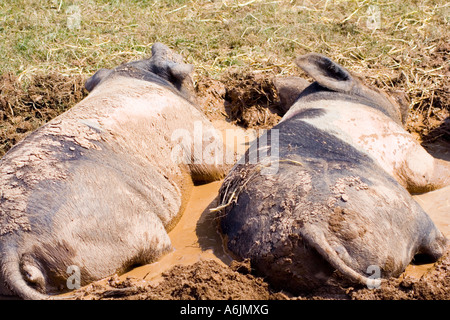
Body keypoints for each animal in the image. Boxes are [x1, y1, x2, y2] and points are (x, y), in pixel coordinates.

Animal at [0, 42, 229, 300]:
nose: (162, 46)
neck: (132, 75)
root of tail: (10, 244)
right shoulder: (199, 135)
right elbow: (213, 167)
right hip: (131, 229)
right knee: (158, 249)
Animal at [217, 53, 446, 296]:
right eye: (371, 84)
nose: (401, 92)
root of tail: (308, 225)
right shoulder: (406, 150)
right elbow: (432, 174)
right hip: (401, 207)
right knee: (433, 243)